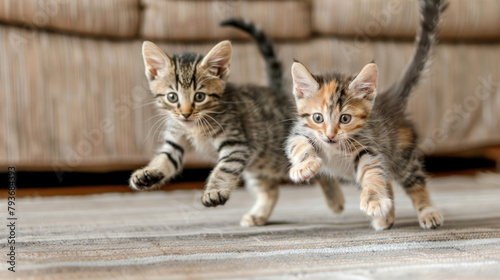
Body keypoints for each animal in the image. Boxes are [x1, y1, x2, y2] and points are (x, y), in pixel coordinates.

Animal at [131, 19, 346, 225]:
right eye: (172, 97)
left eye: (199, 96)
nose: (185, 114)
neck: (194, 127)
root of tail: (276, 92)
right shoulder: (175, 140)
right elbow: (165, 158)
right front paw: (148, 174)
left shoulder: (236, 144)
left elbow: (224, 168)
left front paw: (214, 191)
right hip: (261, 163)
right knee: (271, 190)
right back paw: (258, 215)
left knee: (319, 167)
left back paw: (335, 200)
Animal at [286, 0, 446, 231]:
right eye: (318, 118)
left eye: (345, 119)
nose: (330, 136)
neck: (332, 149)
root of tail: (390, 99)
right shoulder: (300, 132)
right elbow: (299, 144)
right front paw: (305, 166)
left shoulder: (368, 146)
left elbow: (371, 171)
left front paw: (374, 200)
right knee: (387, 179)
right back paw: (386, 216)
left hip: (402, 155)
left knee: (414, 181)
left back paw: (427, 212)